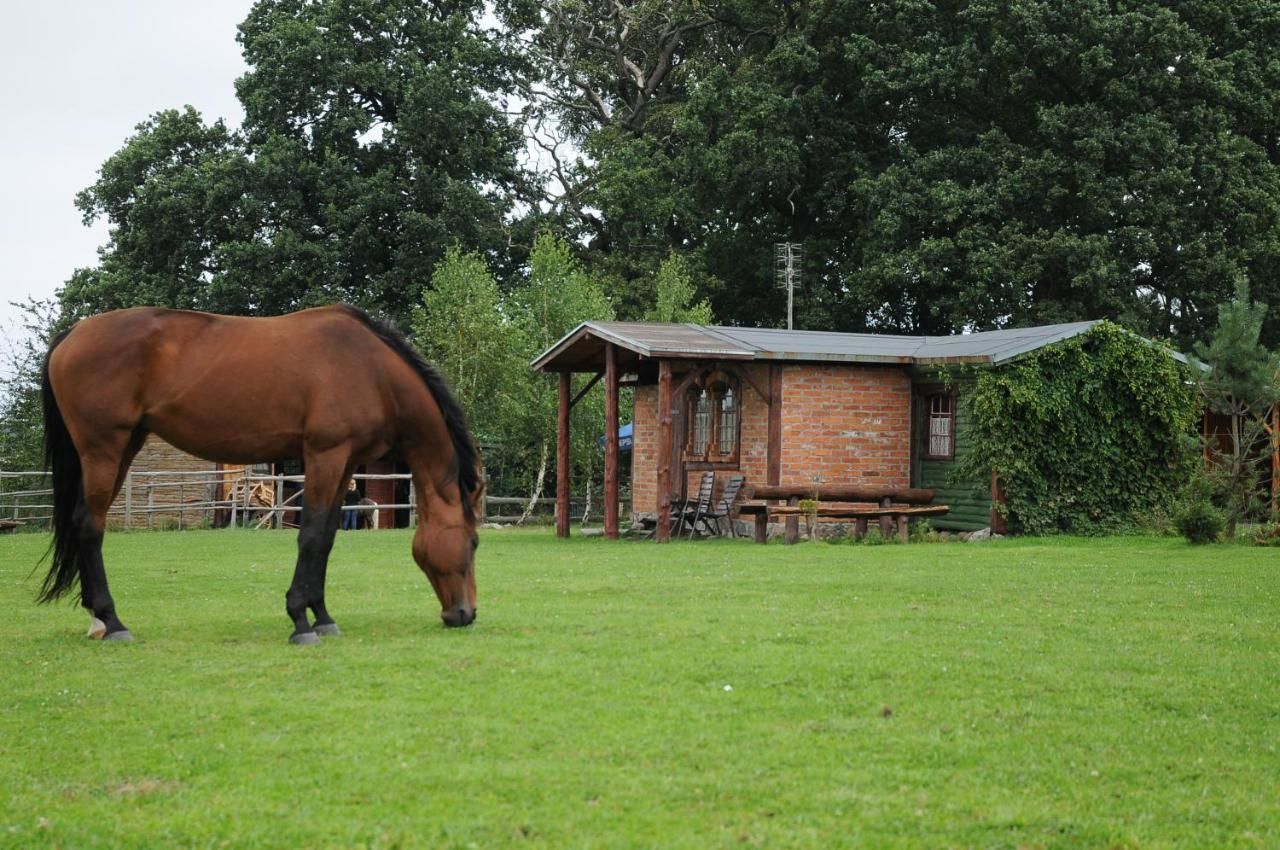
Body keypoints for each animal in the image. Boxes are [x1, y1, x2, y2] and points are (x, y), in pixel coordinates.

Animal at [40, 305, 481, 645]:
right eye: (474, 542)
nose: (466, 614)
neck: (370, 368)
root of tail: (74, 332)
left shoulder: (345, 464)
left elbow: (326, 540)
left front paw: (323, 617)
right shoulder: (325, 456)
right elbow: (311, 536)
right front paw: (300, 621)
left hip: (123, 447)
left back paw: (97, 621)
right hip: (104, 450)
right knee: (90, 526)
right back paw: (113, 622)